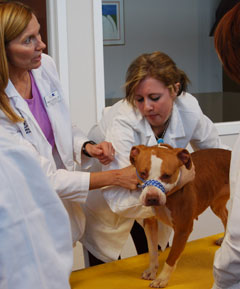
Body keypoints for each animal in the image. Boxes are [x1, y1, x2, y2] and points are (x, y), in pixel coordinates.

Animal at [130, 144, 232, 286]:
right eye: (142, 173)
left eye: (167, 175)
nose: (152, 198)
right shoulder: (150, 224)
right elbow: (152, 251)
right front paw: (152, 270)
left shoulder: (182, 230)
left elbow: (171, 258)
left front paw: (162, 278)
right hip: (216, 204)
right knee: (226, 216)